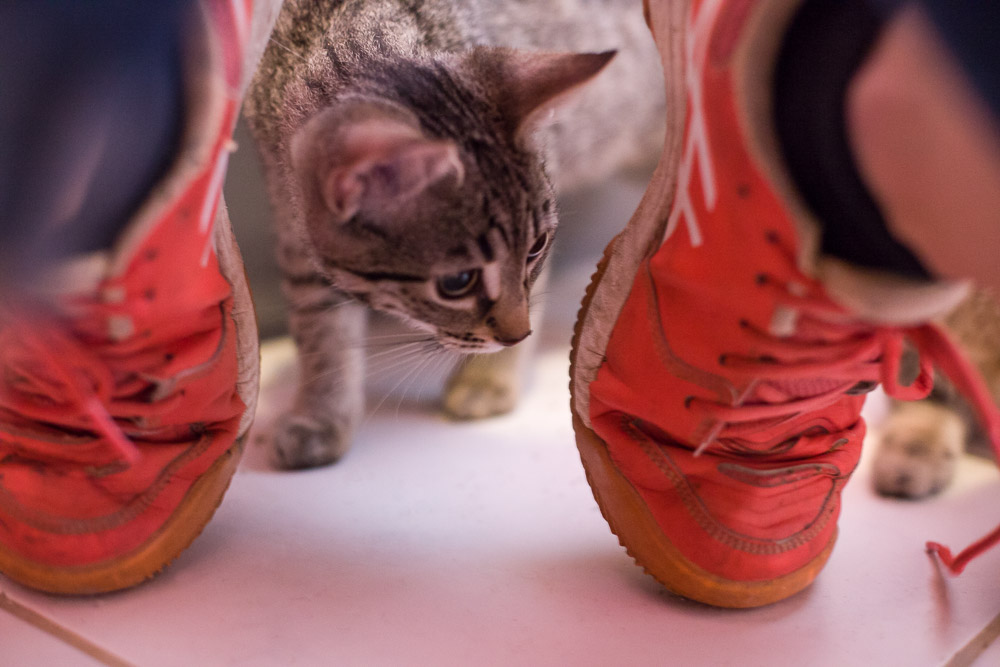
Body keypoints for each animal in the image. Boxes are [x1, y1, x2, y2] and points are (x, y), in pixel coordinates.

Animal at [242, 0, 664, 468]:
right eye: (457, 282)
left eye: (536, 248)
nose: (518, 335)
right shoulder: (296, 236)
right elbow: (321, 332)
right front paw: (322, 415)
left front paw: (488, 380)